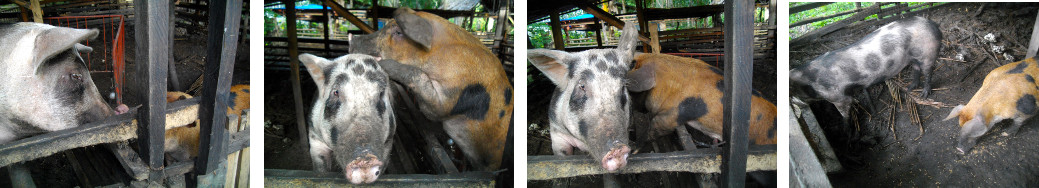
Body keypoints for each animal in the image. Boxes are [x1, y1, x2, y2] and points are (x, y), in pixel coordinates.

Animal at [303, 52, 398, 183]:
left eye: (381, 94)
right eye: (336, 92)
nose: (365, 158)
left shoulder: (389, 142)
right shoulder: (315, 137)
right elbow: (321, 169)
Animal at [793, 16, 943, 118]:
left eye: (793, 95)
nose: (799, 106)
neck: (809, 80)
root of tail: (932, 24)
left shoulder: (838, 96)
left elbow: (845, 113)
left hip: (928, 53)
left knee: (928, 73)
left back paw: (924, 95)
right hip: (914, 58)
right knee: (916, 69)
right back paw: (909, 88)